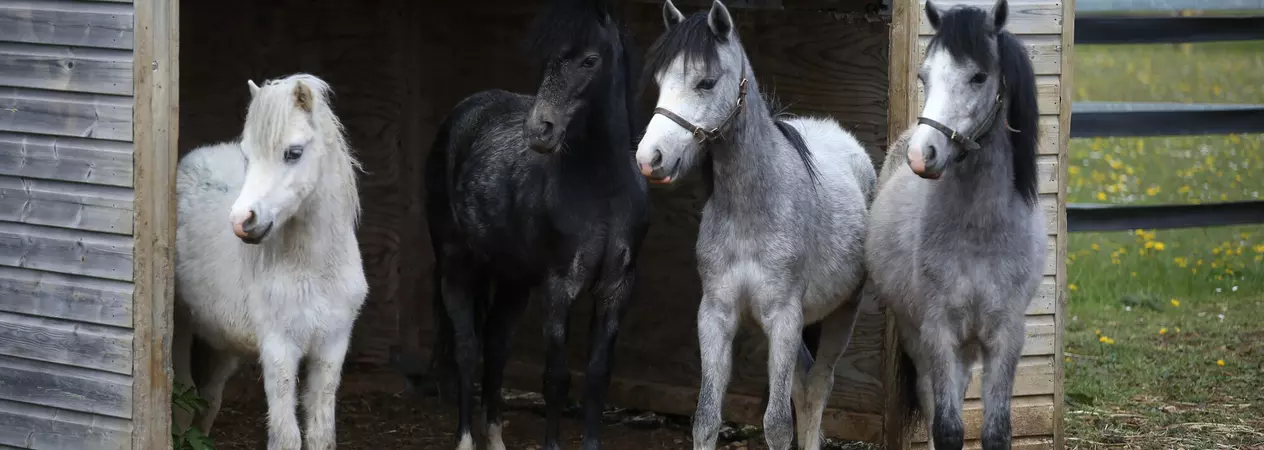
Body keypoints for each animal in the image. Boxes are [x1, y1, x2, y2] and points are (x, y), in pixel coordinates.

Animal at [172, 73, 367, 450]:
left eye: (293, 153)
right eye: (248, 156)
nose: (241, 221)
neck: (314, 269)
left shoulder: (331, 347)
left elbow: (321, 435)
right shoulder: (279, 349)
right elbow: (285, 437)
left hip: (222, 339)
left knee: (210, 398)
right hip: (181, 324)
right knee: (185, 397)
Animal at [422, 0, 647, 447]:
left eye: (589, 60)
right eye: (546, 60)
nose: (540, 129)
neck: (603, 191)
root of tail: (461, 114)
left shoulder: (617, 287)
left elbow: (597, 375)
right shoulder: (560, 286)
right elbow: (556, 379)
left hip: (514, 281)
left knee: (496, 346)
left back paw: (495, 440)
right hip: (456, 265)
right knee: (467, 349)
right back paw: (465, 439)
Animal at [635, 1, 876, 448]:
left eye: (706, 82)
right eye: (660, 82)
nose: (649, 158)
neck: (752, 210)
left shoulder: (784, 318)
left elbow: (777, 424)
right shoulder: (715, 316)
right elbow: (706, 418)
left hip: (841, 313)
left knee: (819, 386)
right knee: (804, 386)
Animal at [866, 0, 1044, 448]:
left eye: (978, 76)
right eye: (924, 76)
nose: (921, 155)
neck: (981, 232)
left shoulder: (1006, 336)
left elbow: (996, 431)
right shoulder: (939, 331)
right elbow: (947, 429)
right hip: (921, 340)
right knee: (933, 404)